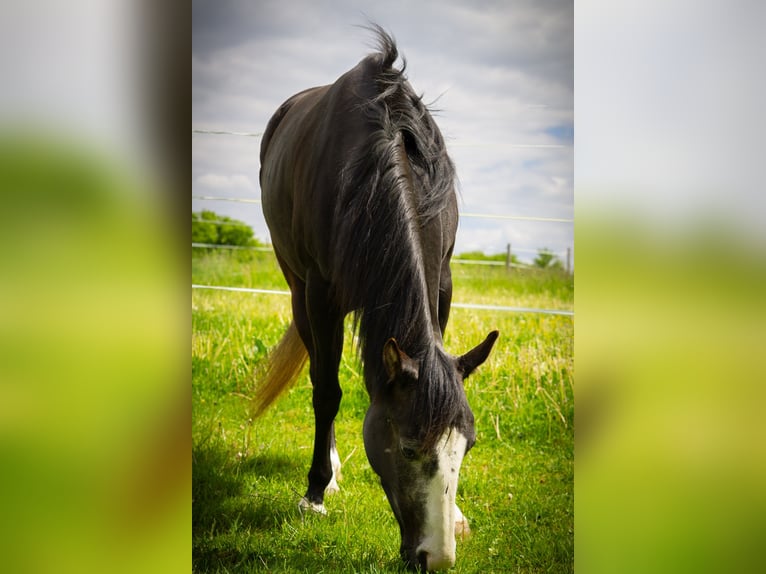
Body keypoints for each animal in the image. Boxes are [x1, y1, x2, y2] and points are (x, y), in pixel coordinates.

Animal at [254, 27, 498, 571]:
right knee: (320, 376)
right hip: (300, 291)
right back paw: (327, 473)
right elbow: (327, 392)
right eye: (407, 449)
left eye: (468, 447)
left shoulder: (442, 283)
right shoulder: (321, 294)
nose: (435, 558)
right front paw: (314, 494)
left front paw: (458, 516)